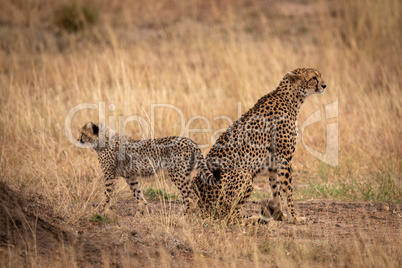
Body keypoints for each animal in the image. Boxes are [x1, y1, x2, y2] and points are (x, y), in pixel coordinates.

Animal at [79, 122, 215, 215]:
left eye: (83, 133)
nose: (78, 139)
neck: (104, 140)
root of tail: (189, 141)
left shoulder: (110, 175)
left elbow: (107, 194)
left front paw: (102, 210)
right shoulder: (131, 176)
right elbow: (137, 193)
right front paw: (142, 212)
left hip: (177, 174)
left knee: (192, 196)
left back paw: (183, 216)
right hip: (184, 174)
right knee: (187, 196)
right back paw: (181, 213)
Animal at [192, 67, 326, 224]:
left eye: (320, 76)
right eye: (314, 77)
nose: (324, 85)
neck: (291, 98)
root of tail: (201, 207)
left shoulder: (274, 161)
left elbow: (276, 190)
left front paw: (280, 215)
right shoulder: (284, 158)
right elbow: (287, 191)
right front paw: (294, 217)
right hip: (245, 178)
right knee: (228, 216)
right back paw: (252, 218)